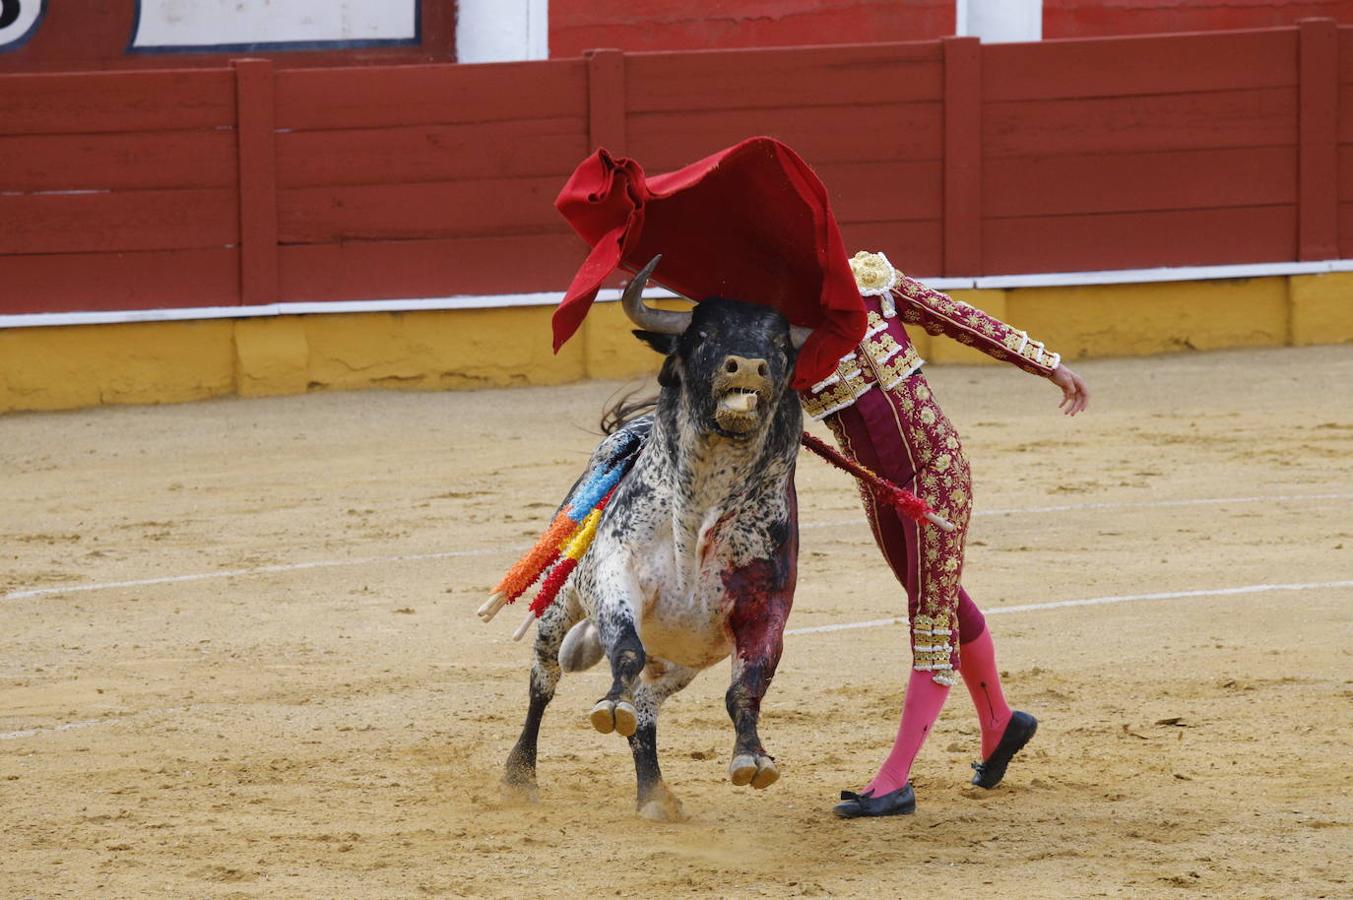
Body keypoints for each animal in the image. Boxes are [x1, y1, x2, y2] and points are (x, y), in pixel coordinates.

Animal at [503, 254, 806, 822]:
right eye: (704, 333)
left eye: (781, 344)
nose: (747, 366)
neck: (706, 504)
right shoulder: (616, 571)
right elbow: (624, 648)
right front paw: (609, 704)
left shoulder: (765, 607)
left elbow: (747, 688)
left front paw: (752, 757)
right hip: (559, 605)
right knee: (544, 680)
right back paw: (519, 777)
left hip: (680, 664)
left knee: (646, 710)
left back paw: (654, 793)